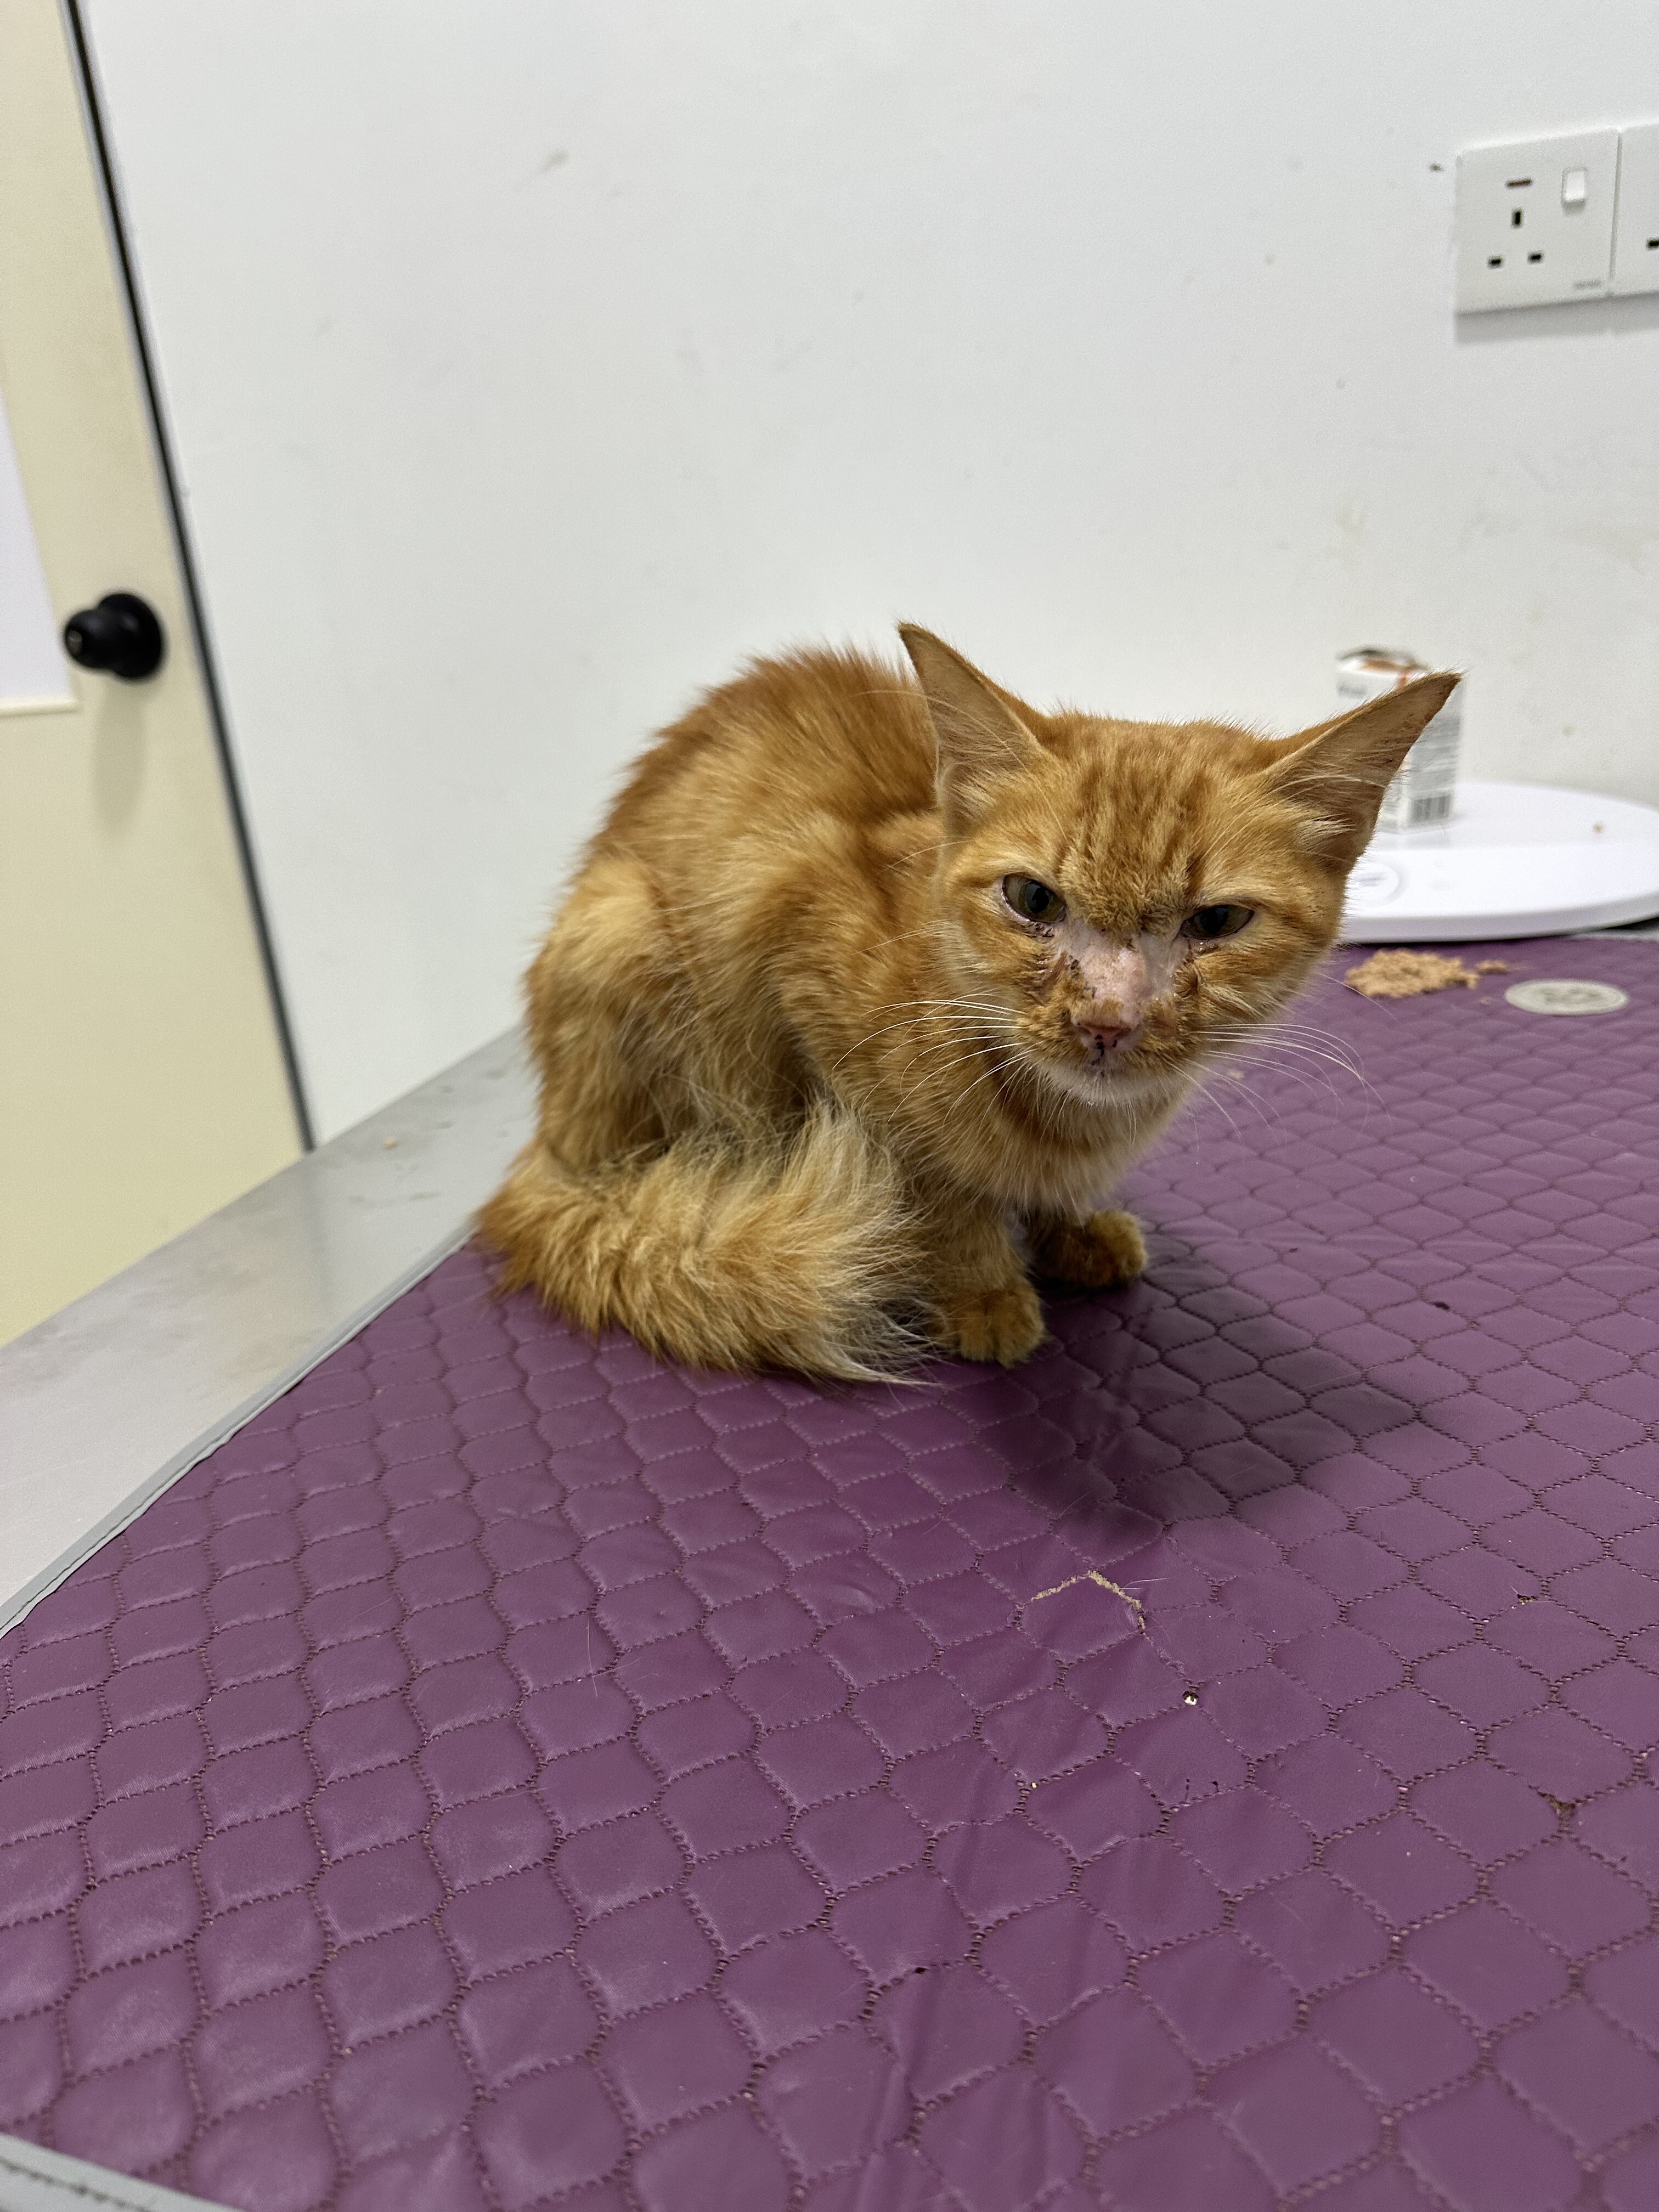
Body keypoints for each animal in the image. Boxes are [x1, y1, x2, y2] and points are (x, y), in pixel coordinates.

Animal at [480, 627, 1457, 1377]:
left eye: (1217, 921)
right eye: (1032, 900)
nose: (1107, 1018)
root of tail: (544, 1153)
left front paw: (1072, 1224)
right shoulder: (801, 972)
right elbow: (937, 1191)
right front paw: (983, 1286)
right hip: (624, 936)